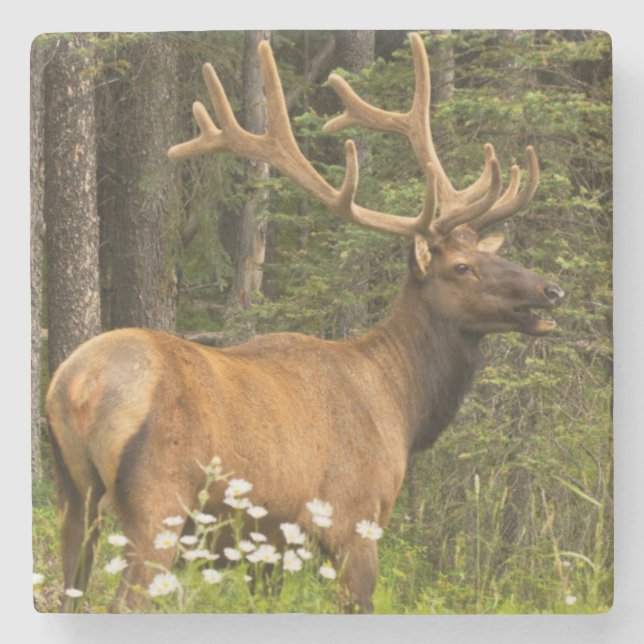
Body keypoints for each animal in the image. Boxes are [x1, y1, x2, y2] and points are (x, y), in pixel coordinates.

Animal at [45, 33, 564, 613]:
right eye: (462, 267)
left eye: (487, 254)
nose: (551, 291)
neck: (401, 406)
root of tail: (76, 386)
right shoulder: (354, 518)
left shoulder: (267, 544)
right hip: (158, 502)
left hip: (71, 495)